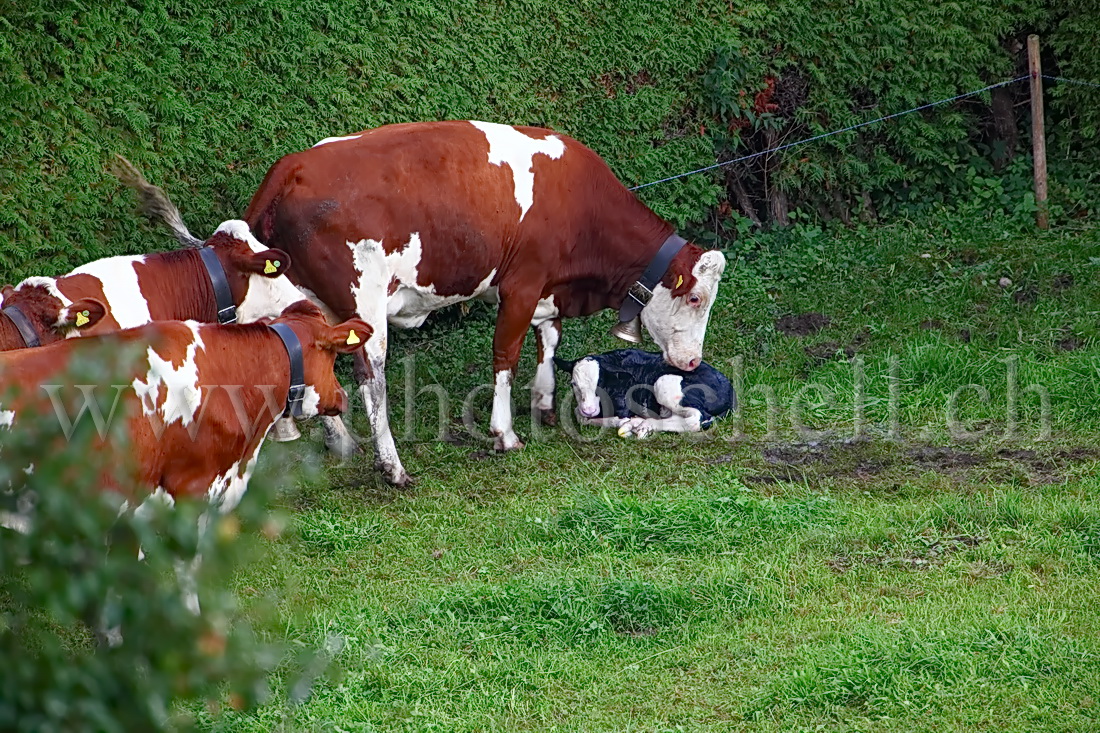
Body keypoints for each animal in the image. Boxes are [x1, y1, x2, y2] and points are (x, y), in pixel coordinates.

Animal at [554, 347, 734, 433]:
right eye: (573, 384)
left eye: (601, 383)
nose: (589, 410)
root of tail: (730, 391)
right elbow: (580, 416)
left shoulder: (624, 407)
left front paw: (621, 421)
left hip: (664, 383)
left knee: (695, 419)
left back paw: (642, 424)